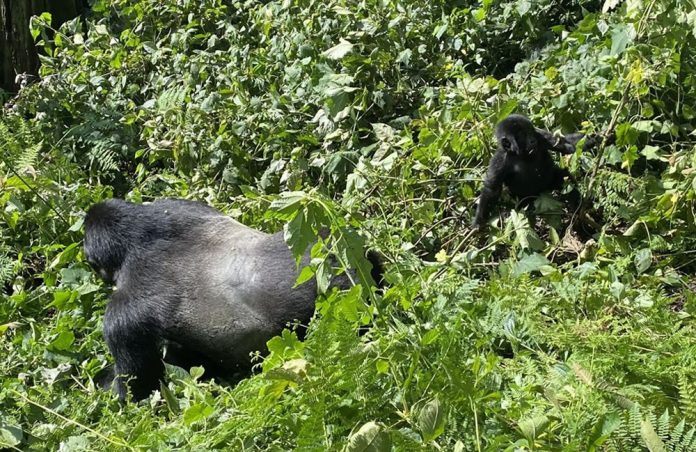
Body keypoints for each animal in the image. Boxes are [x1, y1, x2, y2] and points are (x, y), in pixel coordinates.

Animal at [85, 198, 380, 400]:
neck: (135, 236)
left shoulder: (122, 314)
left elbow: (139, 389)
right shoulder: (177, 205)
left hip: (340, 298)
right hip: (344, 244)